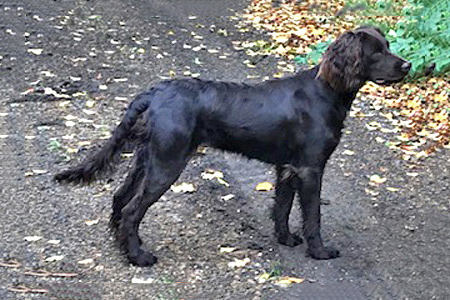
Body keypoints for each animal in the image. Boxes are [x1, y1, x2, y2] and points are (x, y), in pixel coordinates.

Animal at [55, 27, 412, 266]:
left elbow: (282, 207)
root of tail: (154, 93)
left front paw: (285, 239)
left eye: (388, 46)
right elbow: (313, 216)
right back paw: (138, 257)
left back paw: (124, 247)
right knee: (132, 209)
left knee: (120, 198)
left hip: (148, 157)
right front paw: (320, 252)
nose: (407, 65)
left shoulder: (287, 167)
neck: (326, 91)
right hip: (167, 162)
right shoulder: (311, 168)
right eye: (376, 52)